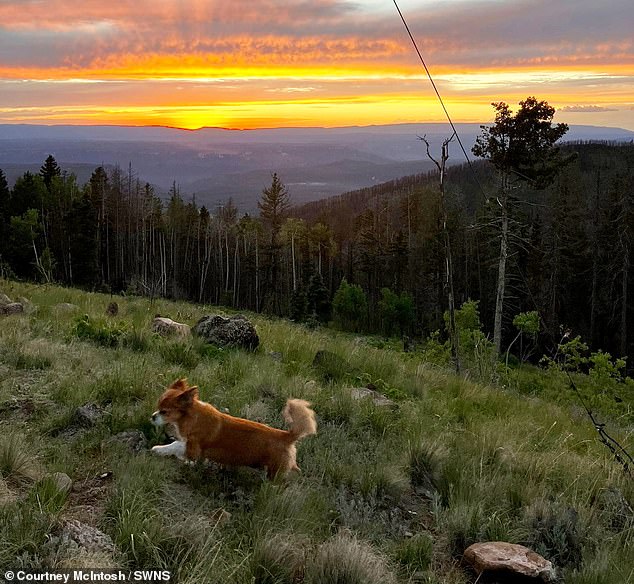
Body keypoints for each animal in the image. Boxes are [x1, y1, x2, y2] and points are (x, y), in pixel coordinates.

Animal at [149, 378, 316, 480]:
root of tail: (286, 435)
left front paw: (159, 449)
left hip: (274, 472)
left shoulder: (193, 446)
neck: (191, 416)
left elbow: (175, 445)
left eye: (164, 412)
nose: (152, 416)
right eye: (158, 408)